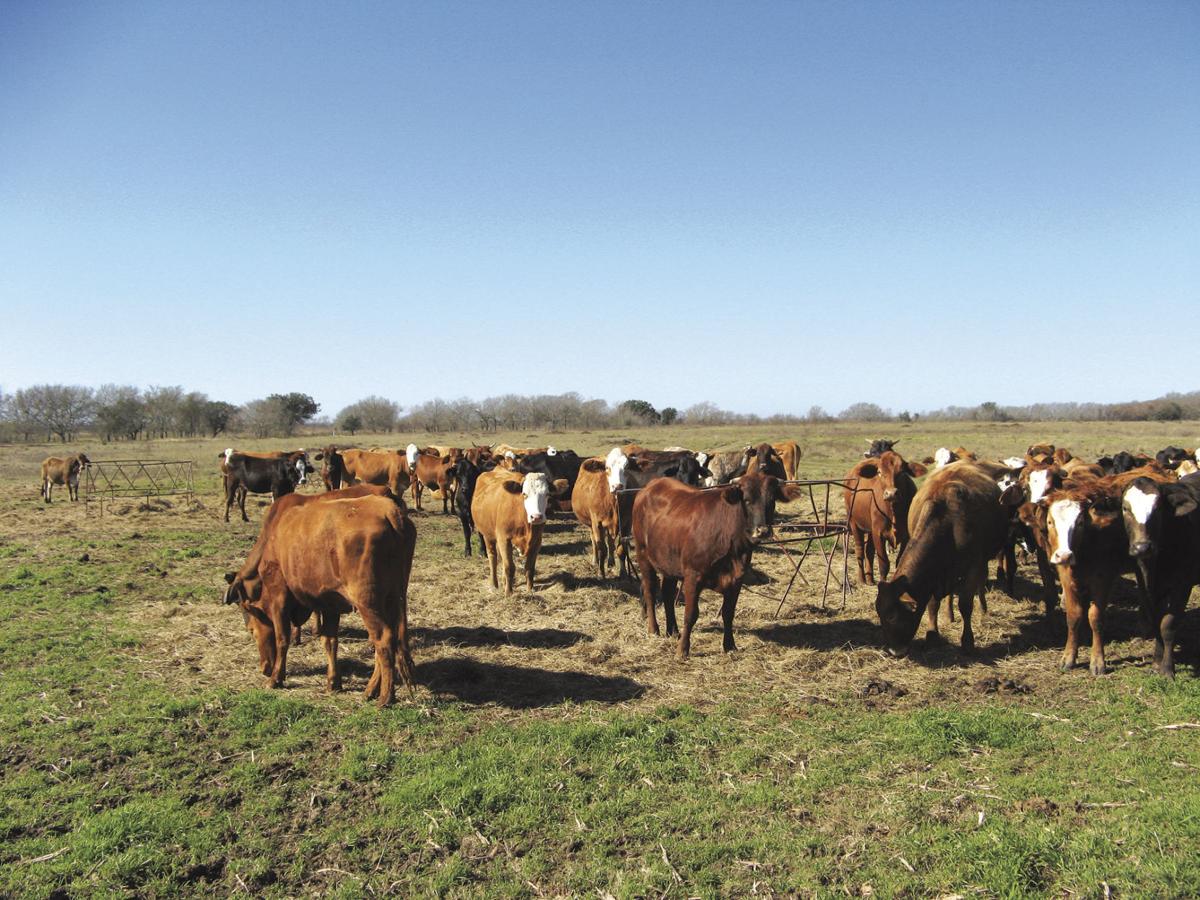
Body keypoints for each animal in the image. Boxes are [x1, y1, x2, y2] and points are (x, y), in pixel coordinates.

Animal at [222, 489, 417, 707]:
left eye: (251, 630)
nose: (264, 667)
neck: (273, 538)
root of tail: (389, 511)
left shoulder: (279, 596)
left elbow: (282, 638)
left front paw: (276, 678)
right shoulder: (331, 602)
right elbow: (329, 641)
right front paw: (333, 682)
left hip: (368, 602)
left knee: (383, 639)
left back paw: (385, 697)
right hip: (393, 598)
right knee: (386, 640)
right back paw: (371, 690)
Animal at [632, 470, 805, 659]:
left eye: (772, 500)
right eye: (746, 500)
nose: (762, 531)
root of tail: (650, 487)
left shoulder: (736, 579)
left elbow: (728, 613)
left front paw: (730, 645)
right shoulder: (692, 576)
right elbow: (690, 615)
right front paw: (682, 650)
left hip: (669, 563)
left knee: (668, 594)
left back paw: (673, 631)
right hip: (643, 555)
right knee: (649, 591)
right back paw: (654, 629)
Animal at [843, 451, 927, 585]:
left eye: (902, 472)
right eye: (879, 472)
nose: (891, 493)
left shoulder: (907, 536)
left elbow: (899, 561)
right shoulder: (878, 533)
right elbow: (884, 564)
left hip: (870, 529)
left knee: (869, 551)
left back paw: (870, 579)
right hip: (854, 524)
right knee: (860, 550)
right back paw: (862, 579)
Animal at [874, 461, 1013, 656]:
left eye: (892, 616)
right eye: (879, 614)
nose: (895, 651)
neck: (948, 522)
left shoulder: (973, 567)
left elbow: (965, 605)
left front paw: (967, 642)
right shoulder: (936, 575)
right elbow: (933, 605)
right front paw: (932, 635)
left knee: (980, 582)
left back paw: (983, 608)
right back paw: (949, 614)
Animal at [1122, 474, 1200, 677]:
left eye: (1158, 508)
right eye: (1125, 508)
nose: (1142, 547)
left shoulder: (1182, 585)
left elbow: (1168, 625)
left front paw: (1166, 669)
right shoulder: (1145, 584)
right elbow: (1156, 620)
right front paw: (1157, 661)